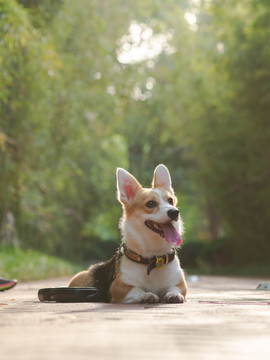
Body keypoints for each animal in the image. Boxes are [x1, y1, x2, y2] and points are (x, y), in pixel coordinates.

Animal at [68, 165, 187, 302]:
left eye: (170, 200)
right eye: (150, 203)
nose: (174, 212)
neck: (154, 258)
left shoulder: (180, 284)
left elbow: (175, 288)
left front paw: (174, 295)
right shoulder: (119, 287)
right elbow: (137, 289)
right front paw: (146, 295)